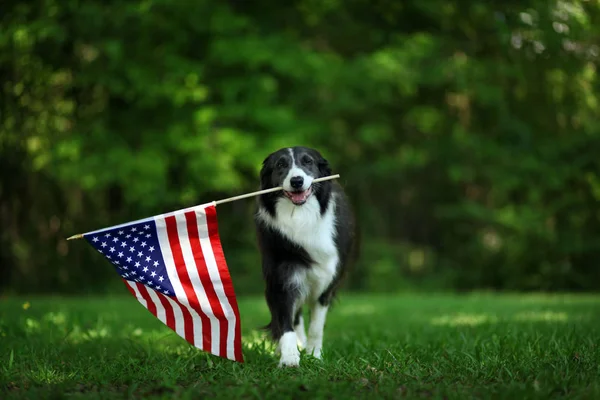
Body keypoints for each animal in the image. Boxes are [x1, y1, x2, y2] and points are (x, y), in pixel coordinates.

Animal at [253, 145, 356, 368]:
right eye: (281, 164)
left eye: (308, 161)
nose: (297, 181)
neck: (300, 216)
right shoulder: (281, 277)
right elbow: (285, 321)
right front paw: (289, 357)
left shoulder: (327, 280)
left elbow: (316, 325)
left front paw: (314, 355)